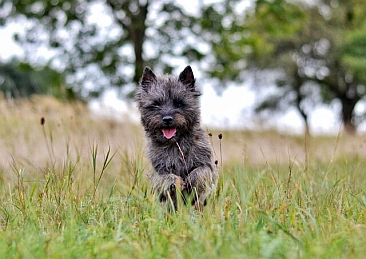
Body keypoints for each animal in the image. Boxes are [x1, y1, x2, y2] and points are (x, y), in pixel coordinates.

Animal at [136, 66, 219, 210]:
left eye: (179, 103)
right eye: (156, 104)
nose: (167, 119)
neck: (176, 144)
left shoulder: (206, 165)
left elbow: (200, 172)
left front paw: (191, 182)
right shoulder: (159, 170)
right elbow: (165, 177)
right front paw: (175, 181)